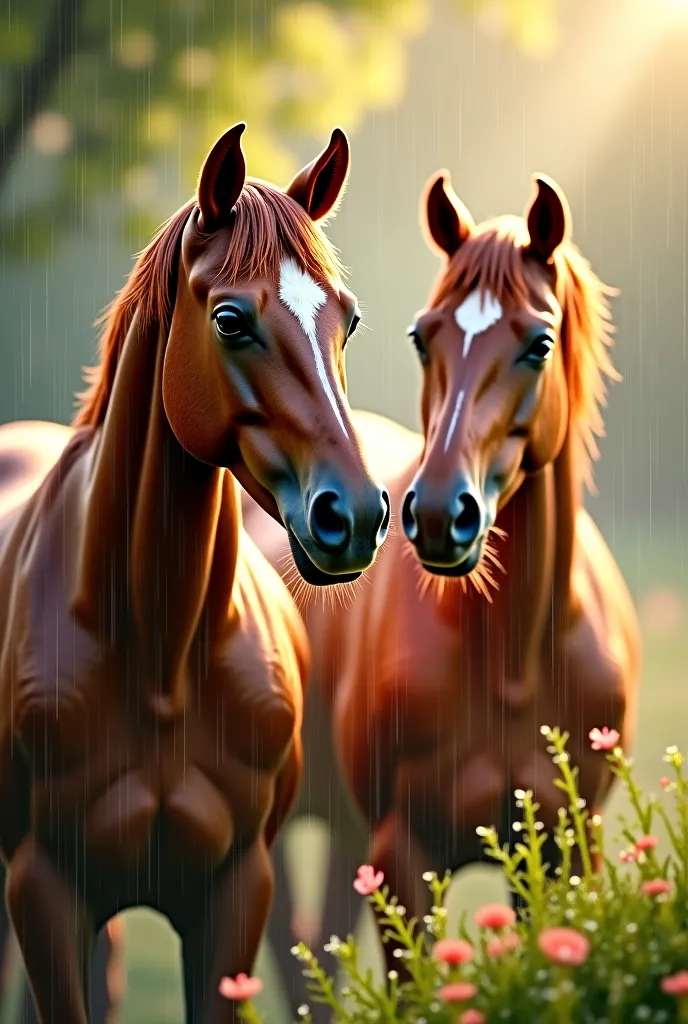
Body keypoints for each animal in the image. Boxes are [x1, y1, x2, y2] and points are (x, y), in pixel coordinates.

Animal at [0, 121, 389, 1024]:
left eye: (347, 321)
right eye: (231, 319)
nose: (353, 516)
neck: (161, 655)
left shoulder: (235, 891)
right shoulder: (43, 890)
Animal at [241, 165, 638, 991]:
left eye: (539, 343)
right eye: (424, 336)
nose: (434, 514)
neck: (513, 657)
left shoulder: (564, 851)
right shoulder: (403, 855)